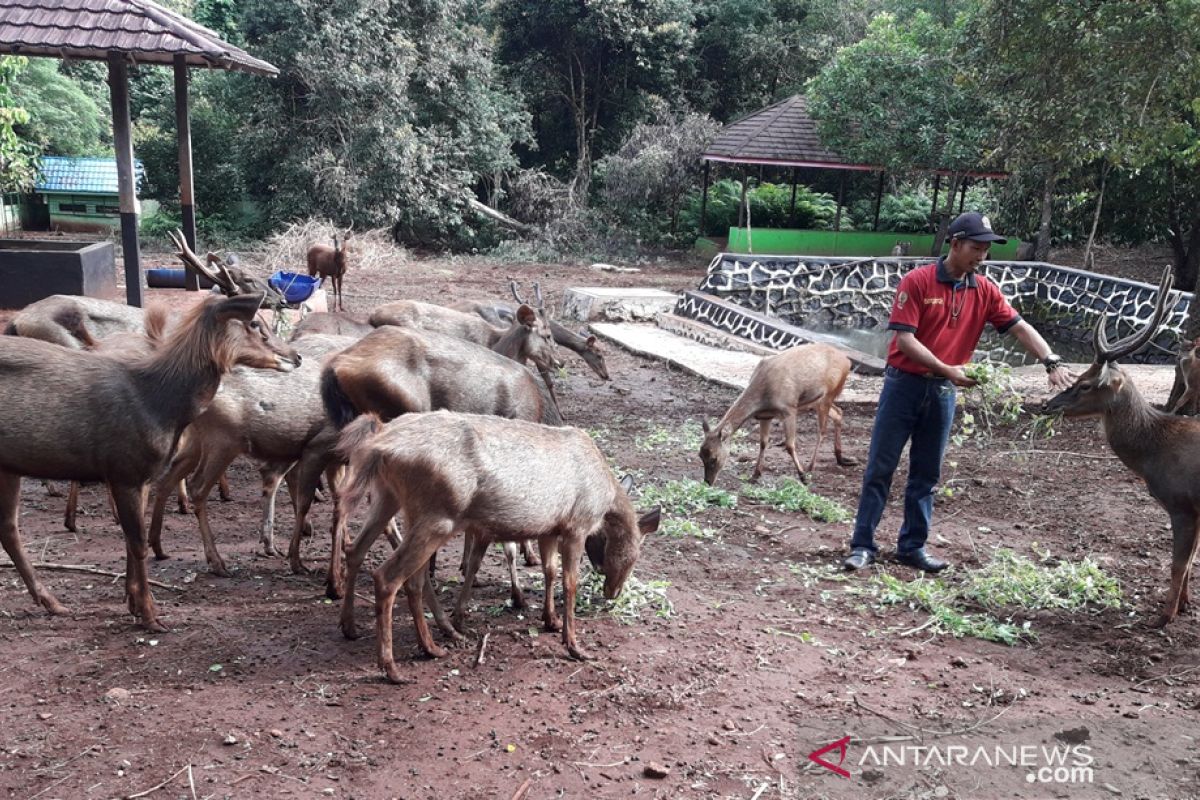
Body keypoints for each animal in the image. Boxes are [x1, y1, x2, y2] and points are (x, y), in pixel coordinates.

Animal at [0, 291, 302, 628]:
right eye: (254, 323)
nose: (296, 356)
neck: (159, 403)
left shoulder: (140, 476)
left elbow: (133, 540)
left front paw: (132, 602)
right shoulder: (125, 469)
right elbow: (138, 543)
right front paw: (149, 614)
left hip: (9, 466)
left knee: (8, 528)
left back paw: (52, 602)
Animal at [319, 326, 561, 618]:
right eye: (547, 335)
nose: (559, 362)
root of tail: (336, 365)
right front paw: (516, 591)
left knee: (343, 498)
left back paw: (335, 583)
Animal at [333, 412, 662, 681]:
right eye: (634, 556)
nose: (613, 593)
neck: (606, 500)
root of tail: (378, 447)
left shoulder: (549, 529)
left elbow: (549, 571)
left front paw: (551, 620)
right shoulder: (576, 525)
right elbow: (569, 582)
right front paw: (574, 645)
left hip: (390, 497)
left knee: (368, 556)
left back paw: (378, 633)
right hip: (438, 516)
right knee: (389, 576)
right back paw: (392, 666)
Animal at [700, 343, 859, 484]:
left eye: (714, 458)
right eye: (700, 455)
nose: (708, 481)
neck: (764, 397)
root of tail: (848, 362)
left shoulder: (789, 409)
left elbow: (789, 445)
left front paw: (802, 477)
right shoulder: (765, 415)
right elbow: (763, 442)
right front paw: (755, 475)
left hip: (828, 395)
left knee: (822, 431)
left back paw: (810, 467)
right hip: (815, 401)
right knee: (838, 412)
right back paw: (842, 458)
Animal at [1041, 266, 1200, 628]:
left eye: (1085, 384)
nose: (1048, 405)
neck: (1154, 455)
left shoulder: (1183, 504)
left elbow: (1179, 564)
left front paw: (1163, 617)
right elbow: (1190, 564)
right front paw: (1185, 606)